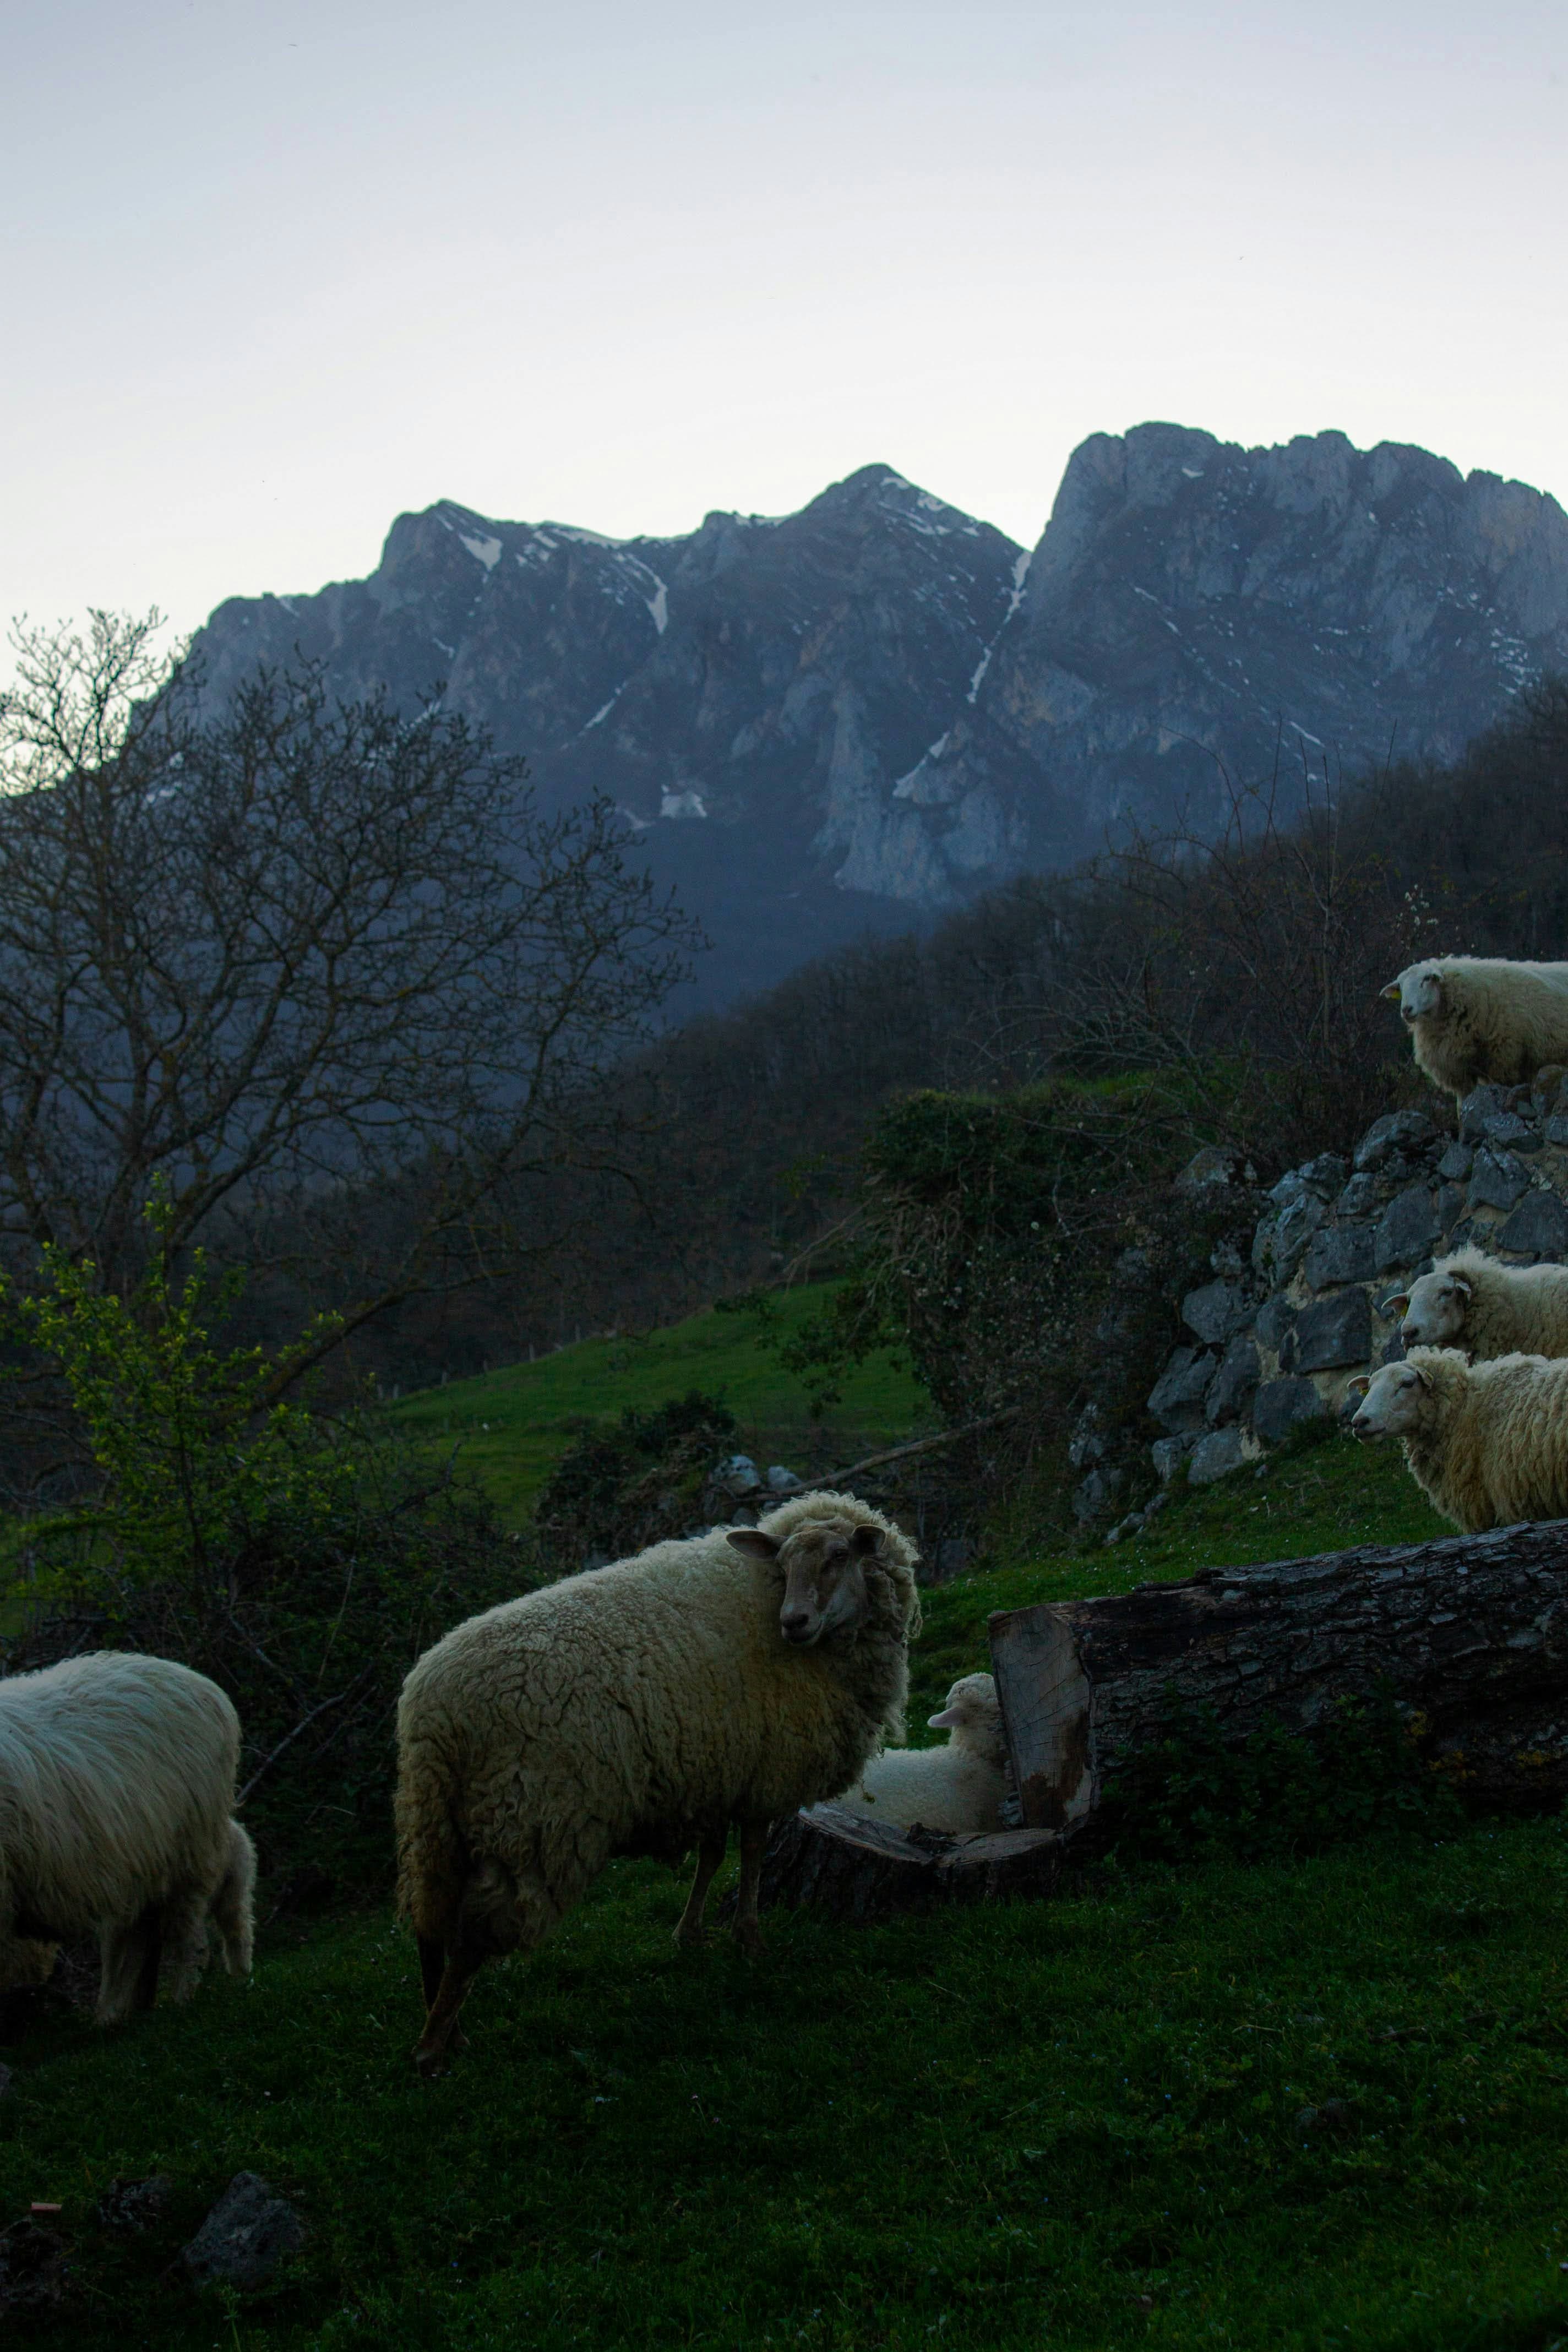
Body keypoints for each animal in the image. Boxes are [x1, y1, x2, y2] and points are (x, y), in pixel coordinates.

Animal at [0, 1650, 255, 2026]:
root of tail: (201, 1683)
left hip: (191, 1856)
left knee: (189, 1940)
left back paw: (179, 2002)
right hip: (143, 1868)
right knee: (140, 1939)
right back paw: (123, 2011)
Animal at [395, 1489, 921, 2076]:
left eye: (838, 1557)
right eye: (784, 1566)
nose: (794, 1622)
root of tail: (433, 1706)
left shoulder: (717, 1772)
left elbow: (713, 1855)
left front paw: (690, 1934)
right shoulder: (765, 1770)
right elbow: (753, 1854)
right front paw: (749, 1939)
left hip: (438, 1817)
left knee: (430, 1924)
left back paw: (449, 2030)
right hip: (528, 1817)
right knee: (472, 1935)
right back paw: (432, 2047)